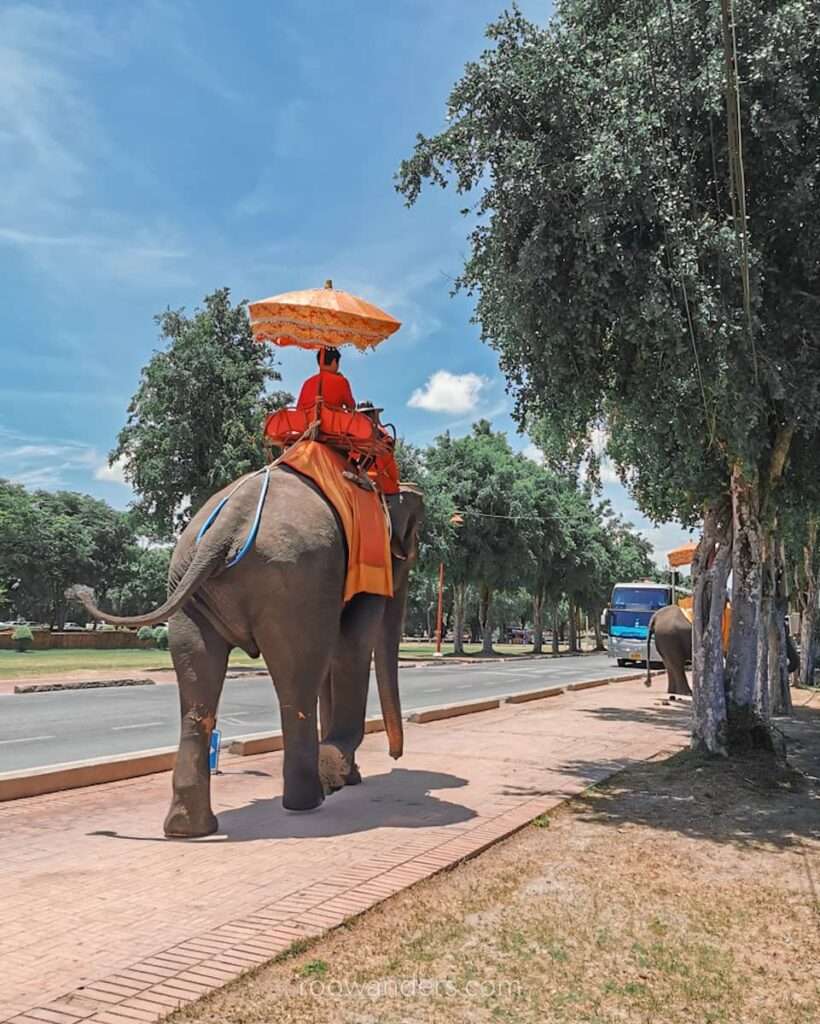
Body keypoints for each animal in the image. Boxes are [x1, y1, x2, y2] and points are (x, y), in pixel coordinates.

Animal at [69, 468, 421, 835]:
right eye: (411, 544)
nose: (396, 757)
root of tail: (225, 528)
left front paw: (345, 776)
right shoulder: (369, 557)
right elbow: (351, 644)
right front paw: (340, 772)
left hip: (191, 585)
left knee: (197, 683)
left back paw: (188, 828)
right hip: (296, 581)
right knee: (300, 678)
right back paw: (306, 801)